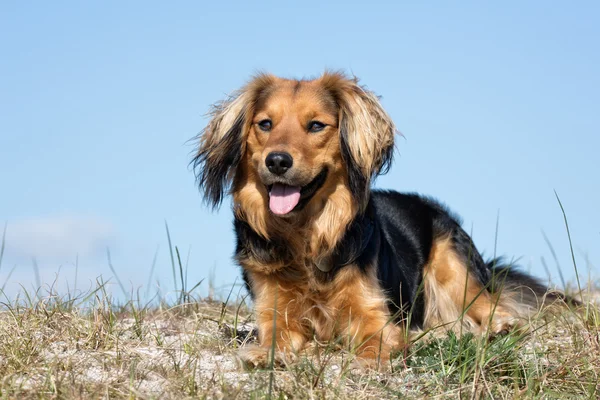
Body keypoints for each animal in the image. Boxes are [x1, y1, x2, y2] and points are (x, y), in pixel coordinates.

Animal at [191, 72, 568, 368]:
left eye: (316, 126)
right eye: (265, 124)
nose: (278, 161)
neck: (307, 236)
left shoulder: (374, 310)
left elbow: (377, 337)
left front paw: (373, 358)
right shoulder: (273, 308)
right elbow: (276, 335)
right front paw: (265, 354)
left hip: (453, 263)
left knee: (492, 308)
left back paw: (486, 328)